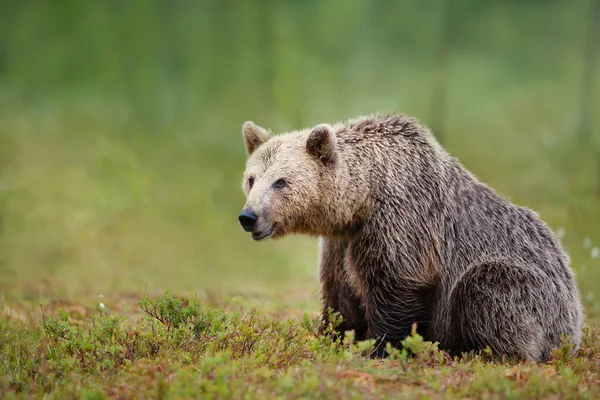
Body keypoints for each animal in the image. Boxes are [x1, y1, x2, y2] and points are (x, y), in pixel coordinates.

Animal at [238, 113, 580, 362]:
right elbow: (339, 293)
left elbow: (396, 285)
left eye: (281, 182)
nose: (248, 216)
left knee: (485, 289)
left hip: (535, 292)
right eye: (251, 179)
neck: (362, 201)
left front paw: (379, 349)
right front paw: (332, 336)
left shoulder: (402, 221)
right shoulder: (341, 242)